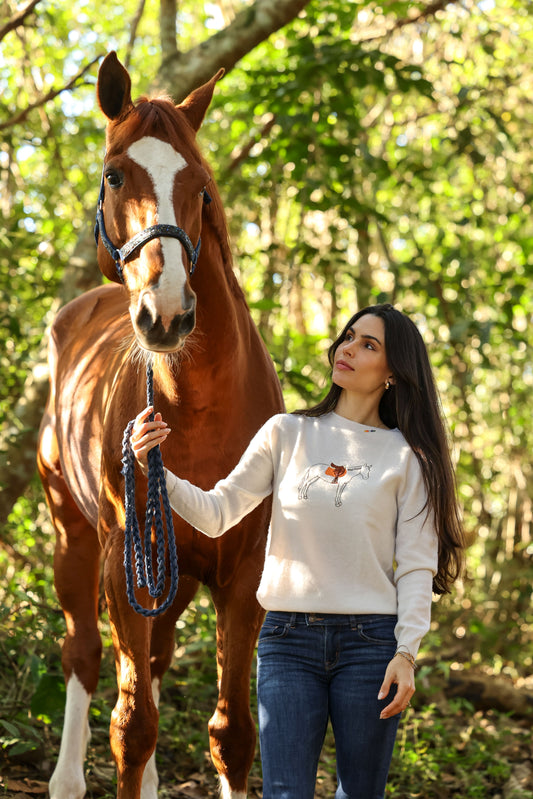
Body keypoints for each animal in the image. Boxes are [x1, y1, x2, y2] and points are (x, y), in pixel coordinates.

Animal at [37, 51, 284, 799]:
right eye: (114, 173)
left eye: (200, 186)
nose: (168, 312)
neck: (201, 406)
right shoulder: (127, 562)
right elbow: (133, 726)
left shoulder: (241, 572)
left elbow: (233, 735)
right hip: (73, 535)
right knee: (85, 655)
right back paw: (65, 777)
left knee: (151, 665)